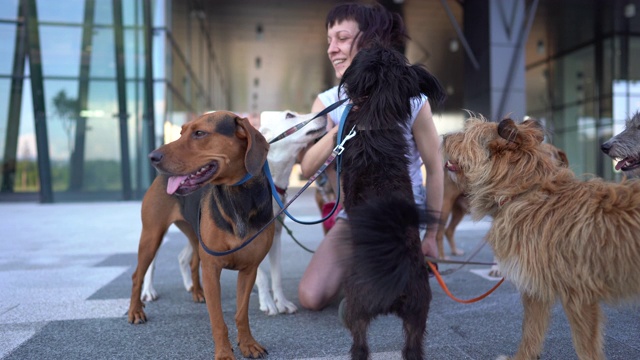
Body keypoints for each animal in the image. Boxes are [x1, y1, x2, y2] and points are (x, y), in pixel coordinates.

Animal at [126, 111, 274, 358]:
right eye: (181, 132)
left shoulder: (249, 269)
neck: (238, 197)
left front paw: (247, 344)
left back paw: (196, 292)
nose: (152, 156)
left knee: (193, 262)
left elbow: (241, 314)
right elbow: (218, 321)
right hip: (151, 237)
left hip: (194, 237)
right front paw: (224, 353)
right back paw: (135, 311)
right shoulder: (213, 269)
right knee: (137, 275)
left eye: (199, 133)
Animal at [142, 109, 328, 316]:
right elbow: (263, 276)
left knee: (182, 258)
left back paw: (192, 287)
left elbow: (277, 275)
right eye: (289, 115)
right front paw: (267, 302)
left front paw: (282, 302)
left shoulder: (275, 236)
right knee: (150, 263)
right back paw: (148, 291)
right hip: (156, 230)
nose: (323, 115)